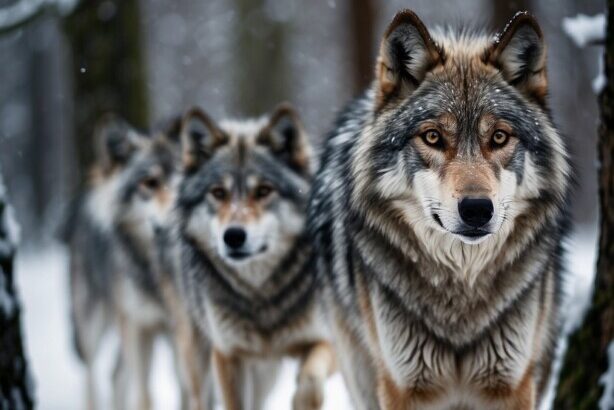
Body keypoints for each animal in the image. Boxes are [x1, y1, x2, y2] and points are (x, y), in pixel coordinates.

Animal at [62, 116, 212, 410]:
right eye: (150, 182)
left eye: (182, 181)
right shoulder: (138, 326)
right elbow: (145, 395)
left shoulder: (178, 331)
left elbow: (186, 392)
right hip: (94, 324)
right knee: (92, 375)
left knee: (116, 375)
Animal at [173, 104, 336, 408]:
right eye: (218, 192)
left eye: (263, 191)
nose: (233, 236)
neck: (261, 294)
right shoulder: (228, 355)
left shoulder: (328, 340)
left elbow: (309, 383)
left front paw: (301, 399)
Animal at [310, 9, 576, 410]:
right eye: (433, 137)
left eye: (499, 137)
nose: (477, 209)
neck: (461, 295)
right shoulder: (404, 387)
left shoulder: (511, 385)